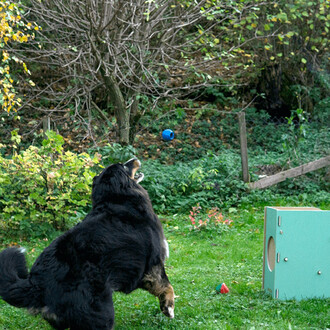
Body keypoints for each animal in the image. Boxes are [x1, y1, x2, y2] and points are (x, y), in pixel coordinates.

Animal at [0, 159, 175, 328]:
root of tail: (37, 283)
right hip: (100, 310)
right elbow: (166, 284)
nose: (135, 159)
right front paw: (168, 308)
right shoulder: (152, 264)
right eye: (124, 166)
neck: (117, 199)